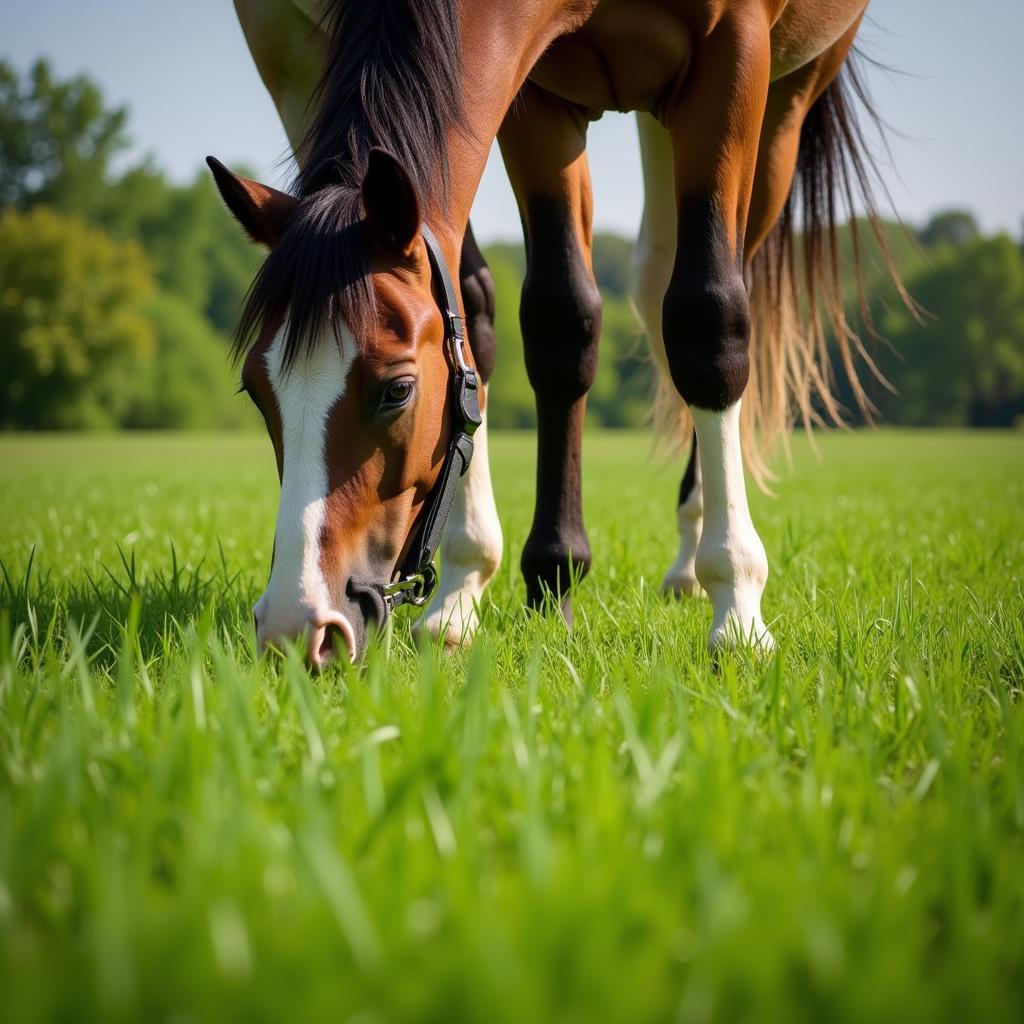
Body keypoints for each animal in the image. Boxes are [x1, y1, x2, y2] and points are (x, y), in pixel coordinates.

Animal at [214, 0, 897, 663]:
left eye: (397, 390)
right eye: (256, 392)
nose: (298, 625)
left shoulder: (733, 52)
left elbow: (710, 314)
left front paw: (738, 612)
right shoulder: (538, 99)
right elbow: (556, 317)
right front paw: (528, 582)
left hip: (786, 103)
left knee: (701, 291)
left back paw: (698, 557)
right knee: (641, 285)